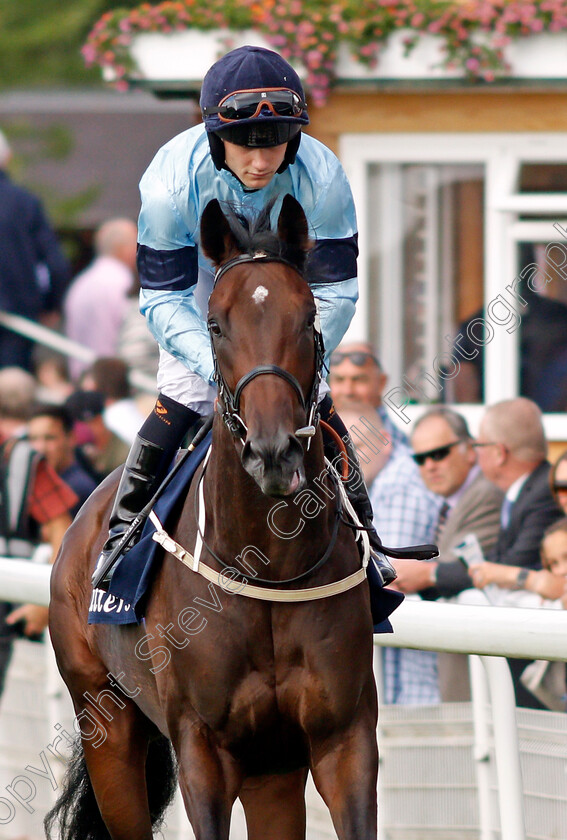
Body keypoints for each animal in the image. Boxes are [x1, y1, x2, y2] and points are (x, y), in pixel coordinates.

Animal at [47, 195, 386, 840]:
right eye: (215, 325)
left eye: (309, 318)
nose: (274, 451)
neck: (269, 568)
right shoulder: (202, 746)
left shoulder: (343, 736)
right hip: (107, 725)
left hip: (272, 768)